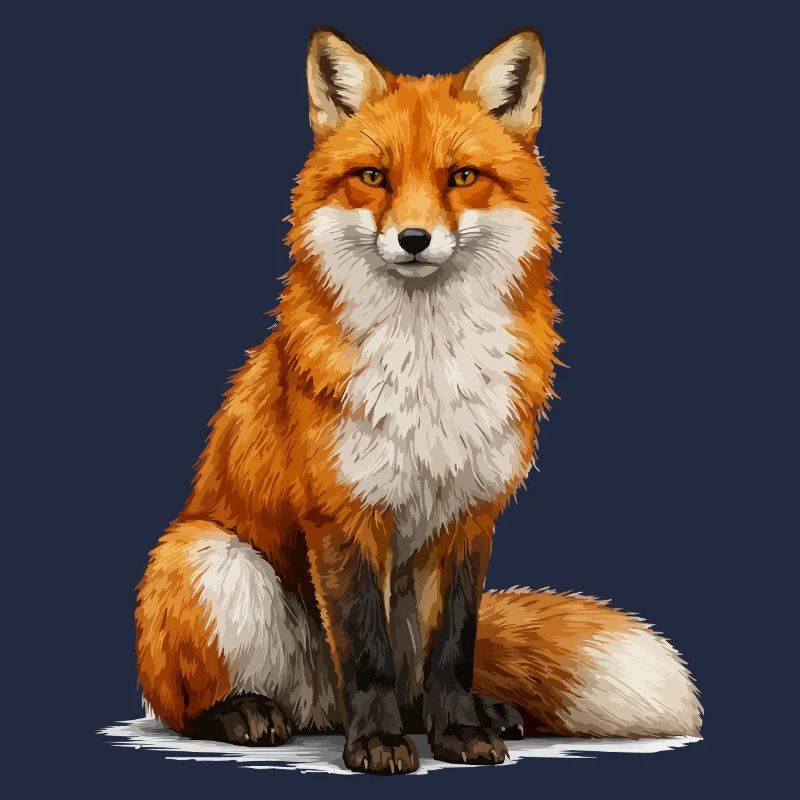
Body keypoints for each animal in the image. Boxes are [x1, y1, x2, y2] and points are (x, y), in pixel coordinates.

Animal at [135, 27, 702, 775]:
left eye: (461, 177)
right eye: (374, 177)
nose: (412, 239)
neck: (430, 369)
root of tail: (317, 707)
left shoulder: (469, 517)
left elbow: (453, 650)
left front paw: (459, 731)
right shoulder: (344, 514)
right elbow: (365, 652)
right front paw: (376, 745)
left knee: (418, 686)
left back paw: (471, 713)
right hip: (209, 558)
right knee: (187, 705)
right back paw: (245, 713)